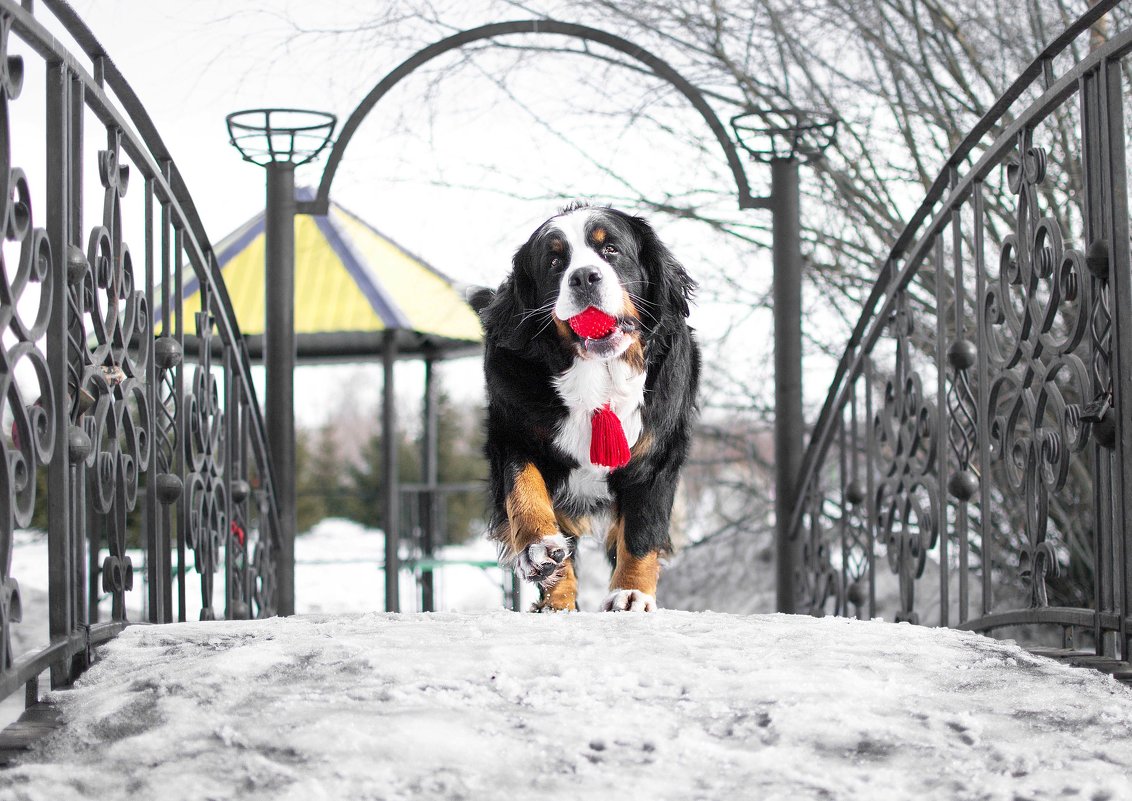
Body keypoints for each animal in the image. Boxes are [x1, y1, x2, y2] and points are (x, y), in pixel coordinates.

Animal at [468, 203, 697, 610]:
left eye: (611, 250)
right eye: (555, 261)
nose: (584, 277)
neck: (598, 379)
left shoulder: (658, 452)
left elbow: (642, 530)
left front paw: (631, 593)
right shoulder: (513, 429)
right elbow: (524, 489)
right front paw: (539, 550)